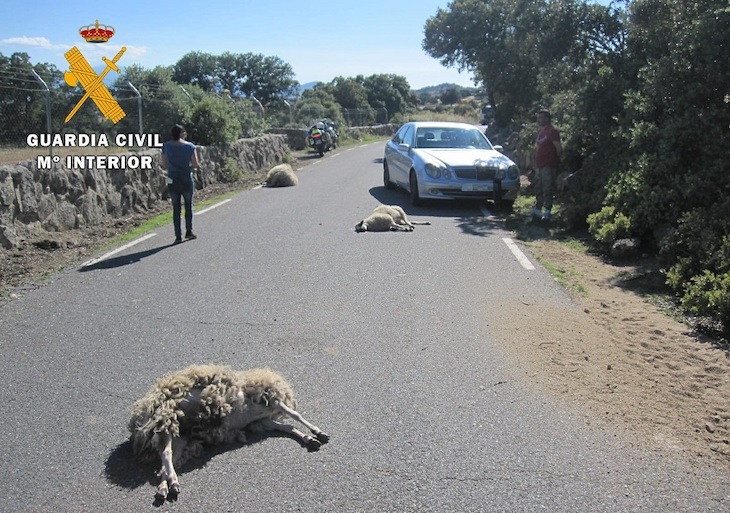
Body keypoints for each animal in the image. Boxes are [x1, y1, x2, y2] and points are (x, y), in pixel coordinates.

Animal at [128, 364, 329, 501]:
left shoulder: (261, 420)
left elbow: (287, 427)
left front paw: (309, 438)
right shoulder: (269, 399)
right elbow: (295, 415)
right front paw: (317, 432)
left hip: (179, 435)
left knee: (166, 459)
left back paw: (165, 486)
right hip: (167, 417)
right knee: (165, 453)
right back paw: (173, 484)